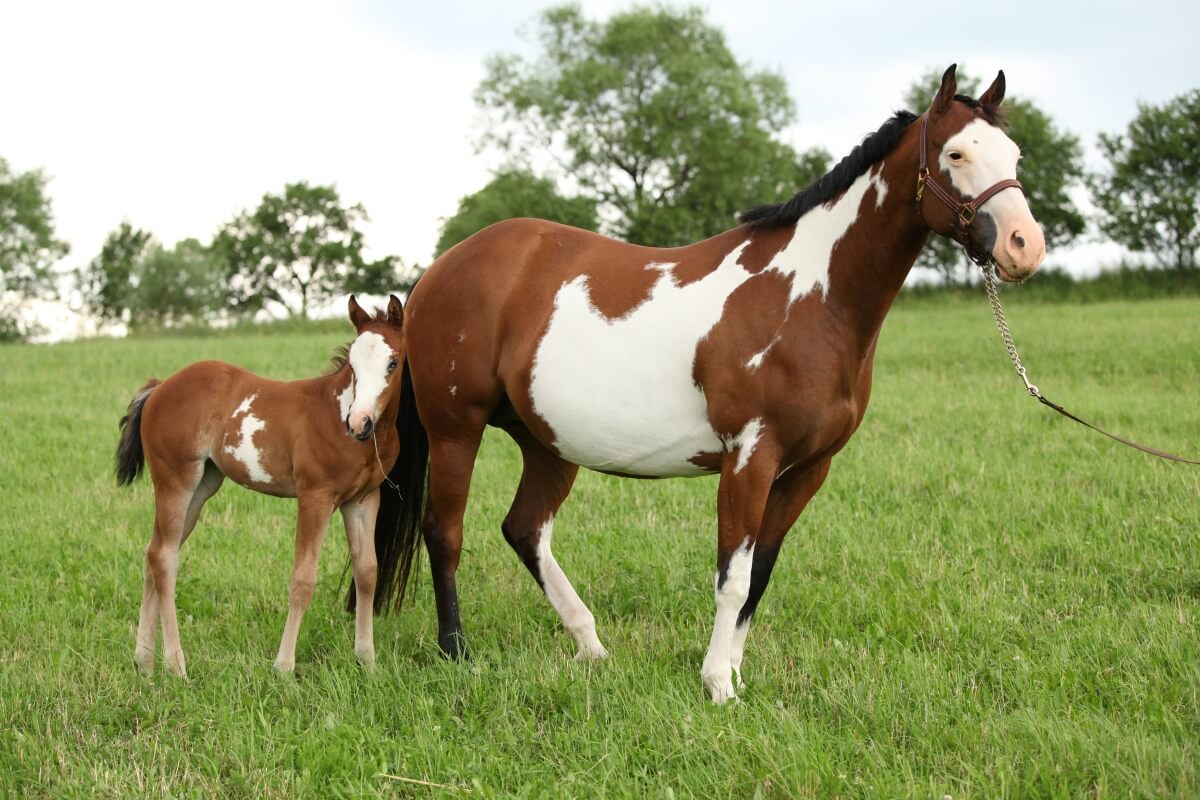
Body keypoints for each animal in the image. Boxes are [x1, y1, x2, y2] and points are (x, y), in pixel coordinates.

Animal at [116, 295, 406, 677]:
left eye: (392, 362)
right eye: (353, 366)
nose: (359, 423)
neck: (338, 415)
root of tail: (159, 387)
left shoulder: (363, 500)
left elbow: (368, 573)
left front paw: (368, 662)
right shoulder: (314, 497)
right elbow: (303, 579)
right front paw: (283, 668)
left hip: (202, 486)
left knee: (155, 551)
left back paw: (145, 661)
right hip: (175, 480)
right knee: (164, 559)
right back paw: (176, 665)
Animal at [367, 64, 1047, 703]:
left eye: (1013, 155)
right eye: (955, 155)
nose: (1025, 246)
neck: (807, 297)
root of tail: (440, 268)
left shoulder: (807, 469)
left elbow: (761, 574)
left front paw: (736, 673)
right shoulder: (750, 458)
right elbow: (733, 576)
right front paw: (718, 683)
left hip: (546, 441)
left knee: (525, 529)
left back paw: (591, 645)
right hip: (457, 431)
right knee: (445, 532)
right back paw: (457, 652)